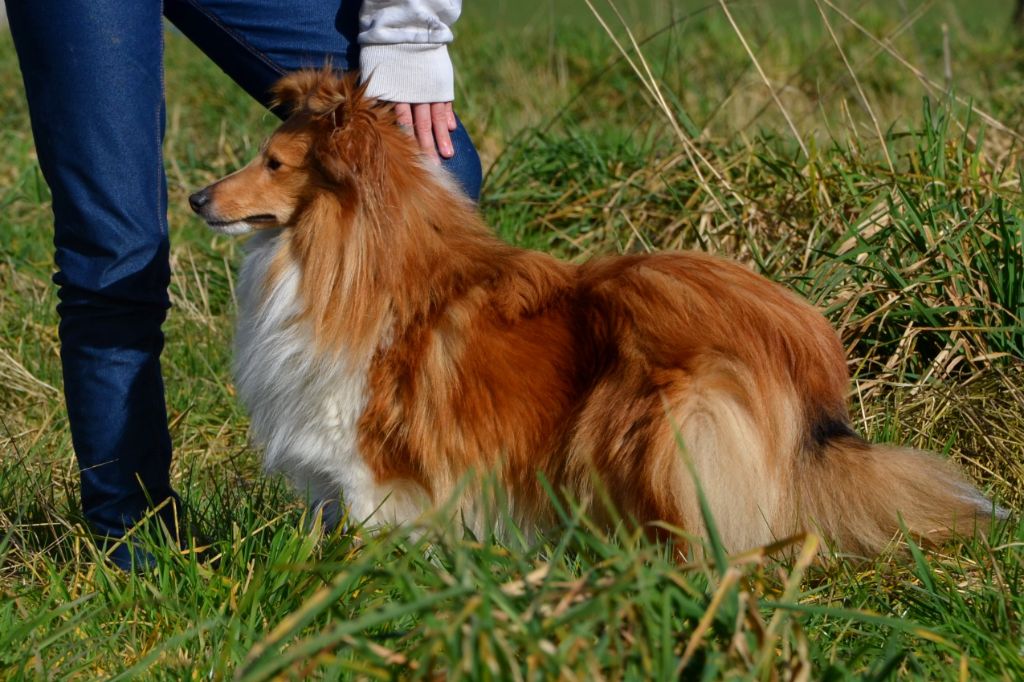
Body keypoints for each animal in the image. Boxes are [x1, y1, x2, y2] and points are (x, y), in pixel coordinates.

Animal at [192, 71, 999, 557]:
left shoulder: (369, 462)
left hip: (666, 433)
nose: (197, 198)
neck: (350, 253)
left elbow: (368, 534)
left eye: (272, 162)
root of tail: (799, 344)